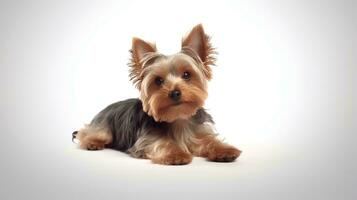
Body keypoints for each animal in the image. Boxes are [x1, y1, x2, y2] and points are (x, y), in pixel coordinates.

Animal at [73, 24, 242, 165]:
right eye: (158, 80)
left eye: (187, 74)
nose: (175, 92)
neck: (178, 118)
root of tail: (108, 106)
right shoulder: (146, 139)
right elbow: (161, 143)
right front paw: (176, 155)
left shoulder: (199, 132)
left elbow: (209, 140)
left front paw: (224, 150)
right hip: (103, 127)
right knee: (86, 132)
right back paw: (92, 143)